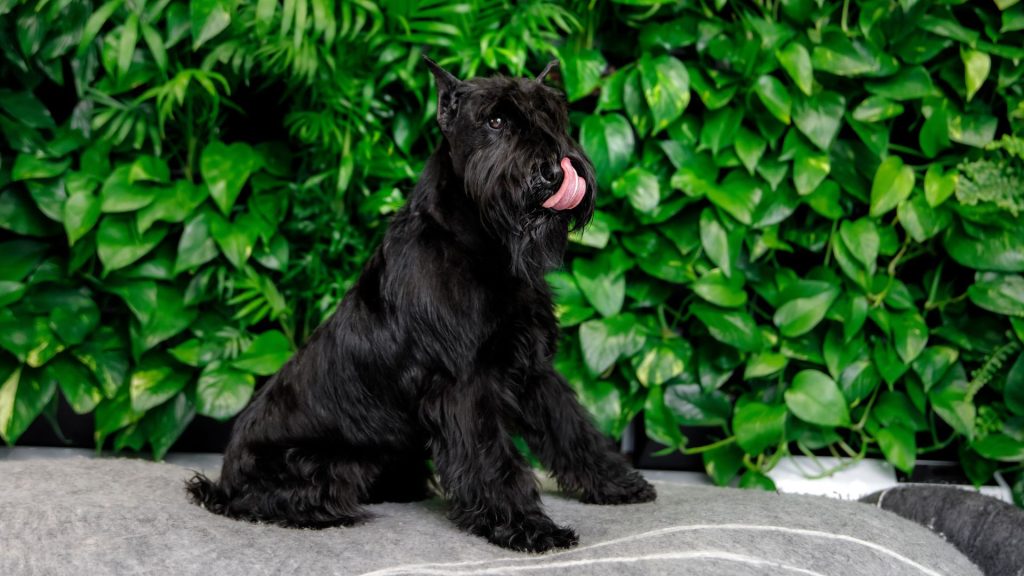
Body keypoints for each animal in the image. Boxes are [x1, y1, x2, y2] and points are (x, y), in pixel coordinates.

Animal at [188, 58, 655, 553]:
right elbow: (495, 459)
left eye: (552, 115)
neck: (480, 247)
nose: (555, 171)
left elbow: (572, 428)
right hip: (322, 465)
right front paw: (527, 527)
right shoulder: (464, 383)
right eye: (496, 120)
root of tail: (222, 479)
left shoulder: (532, 367)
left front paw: (617, 482)